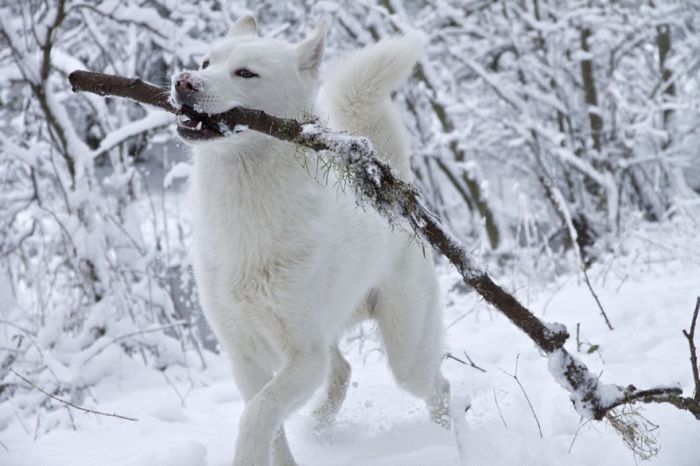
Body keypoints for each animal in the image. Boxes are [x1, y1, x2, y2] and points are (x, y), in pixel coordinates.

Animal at [172, 16, 452, 466]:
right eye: (206, 62)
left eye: (245, 73)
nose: (182, 81)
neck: (246, 210)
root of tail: (393, 185)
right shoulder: (244, 356)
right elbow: (271, 425)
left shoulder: (304, 357)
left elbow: (259, 414)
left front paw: (246, 455)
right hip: (332, 334)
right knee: (342, 371)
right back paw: (320, 424)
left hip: (406, 353)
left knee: (438, 389)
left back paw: (455, 441)